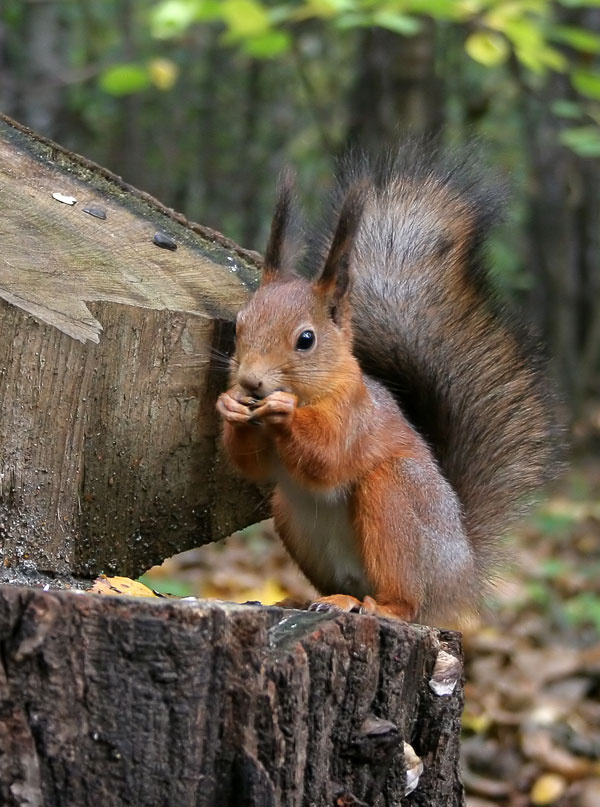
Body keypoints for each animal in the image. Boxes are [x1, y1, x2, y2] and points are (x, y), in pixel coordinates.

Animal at [216, 145, 560, 626]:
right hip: (291, 516)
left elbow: (327, 458)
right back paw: (310, 599)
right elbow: (253, 465)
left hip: (394, 496)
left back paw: (378, 606)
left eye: (306, 340)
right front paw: (229, 406)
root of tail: (461, 578)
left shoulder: (356, 416)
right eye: (239, 325)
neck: (319, 390)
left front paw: (284, 412)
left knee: (407, 603)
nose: (250, 380)